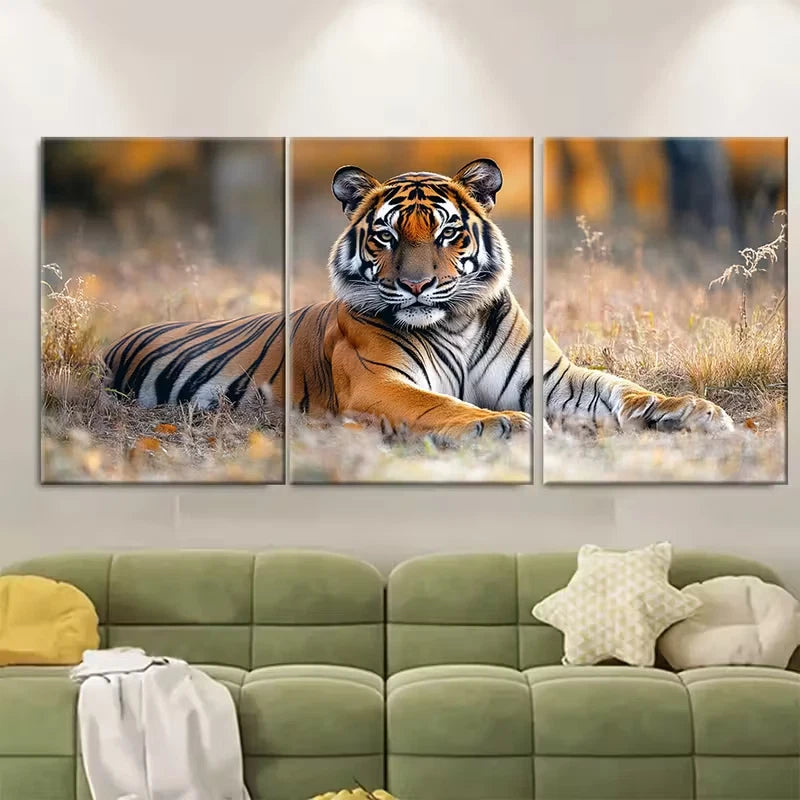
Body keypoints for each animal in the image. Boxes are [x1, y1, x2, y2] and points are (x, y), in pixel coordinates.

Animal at [104, 157, 733, 440]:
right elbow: (444, 406)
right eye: (385, 236)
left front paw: (694, 411)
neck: (455, 323)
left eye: (448, 232)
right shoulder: (377, 384)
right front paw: (506, 423)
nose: (415, 285)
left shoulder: (552, 378)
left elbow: (621, 388)